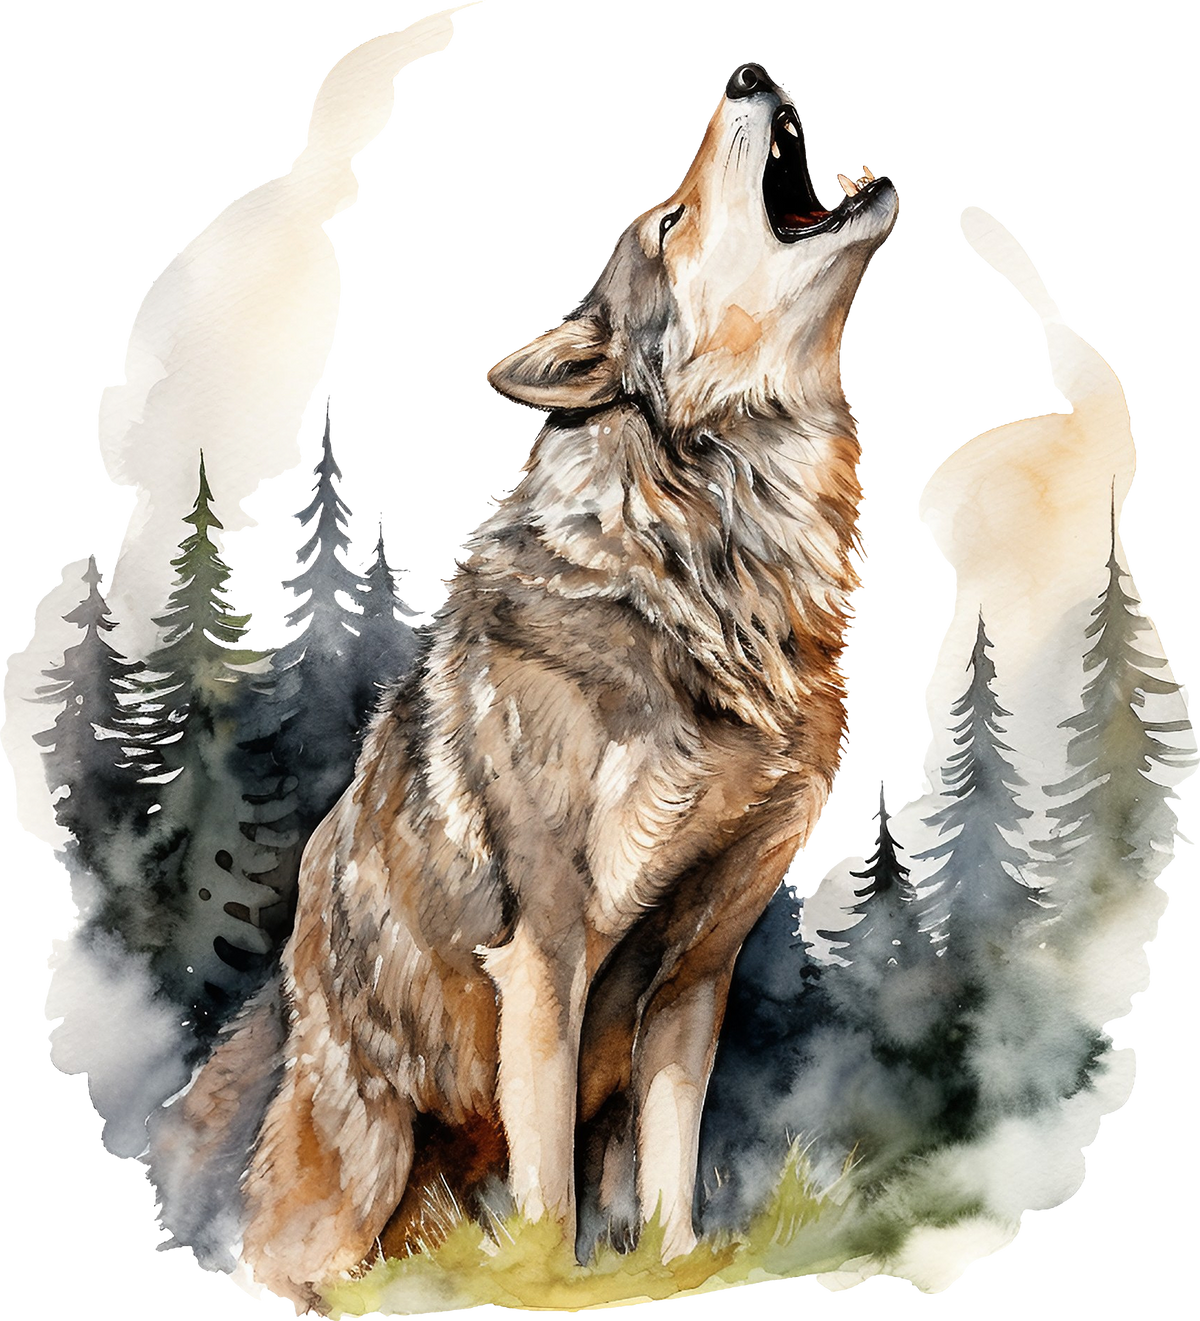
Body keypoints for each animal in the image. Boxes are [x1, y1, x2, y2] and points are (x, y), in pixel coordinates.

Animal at [154, 61, 898, 1312]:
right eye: (668, 224)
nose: (748, 73)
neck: (709, 569)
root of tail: (280, 1002)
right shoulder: (545, 953)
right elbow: (550, 1189)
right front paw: (554, 1282)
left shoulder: (696, 970)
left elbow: (668, 1172)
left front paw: (674, 1268)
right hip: (362, 1162)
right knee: (293, 1257)